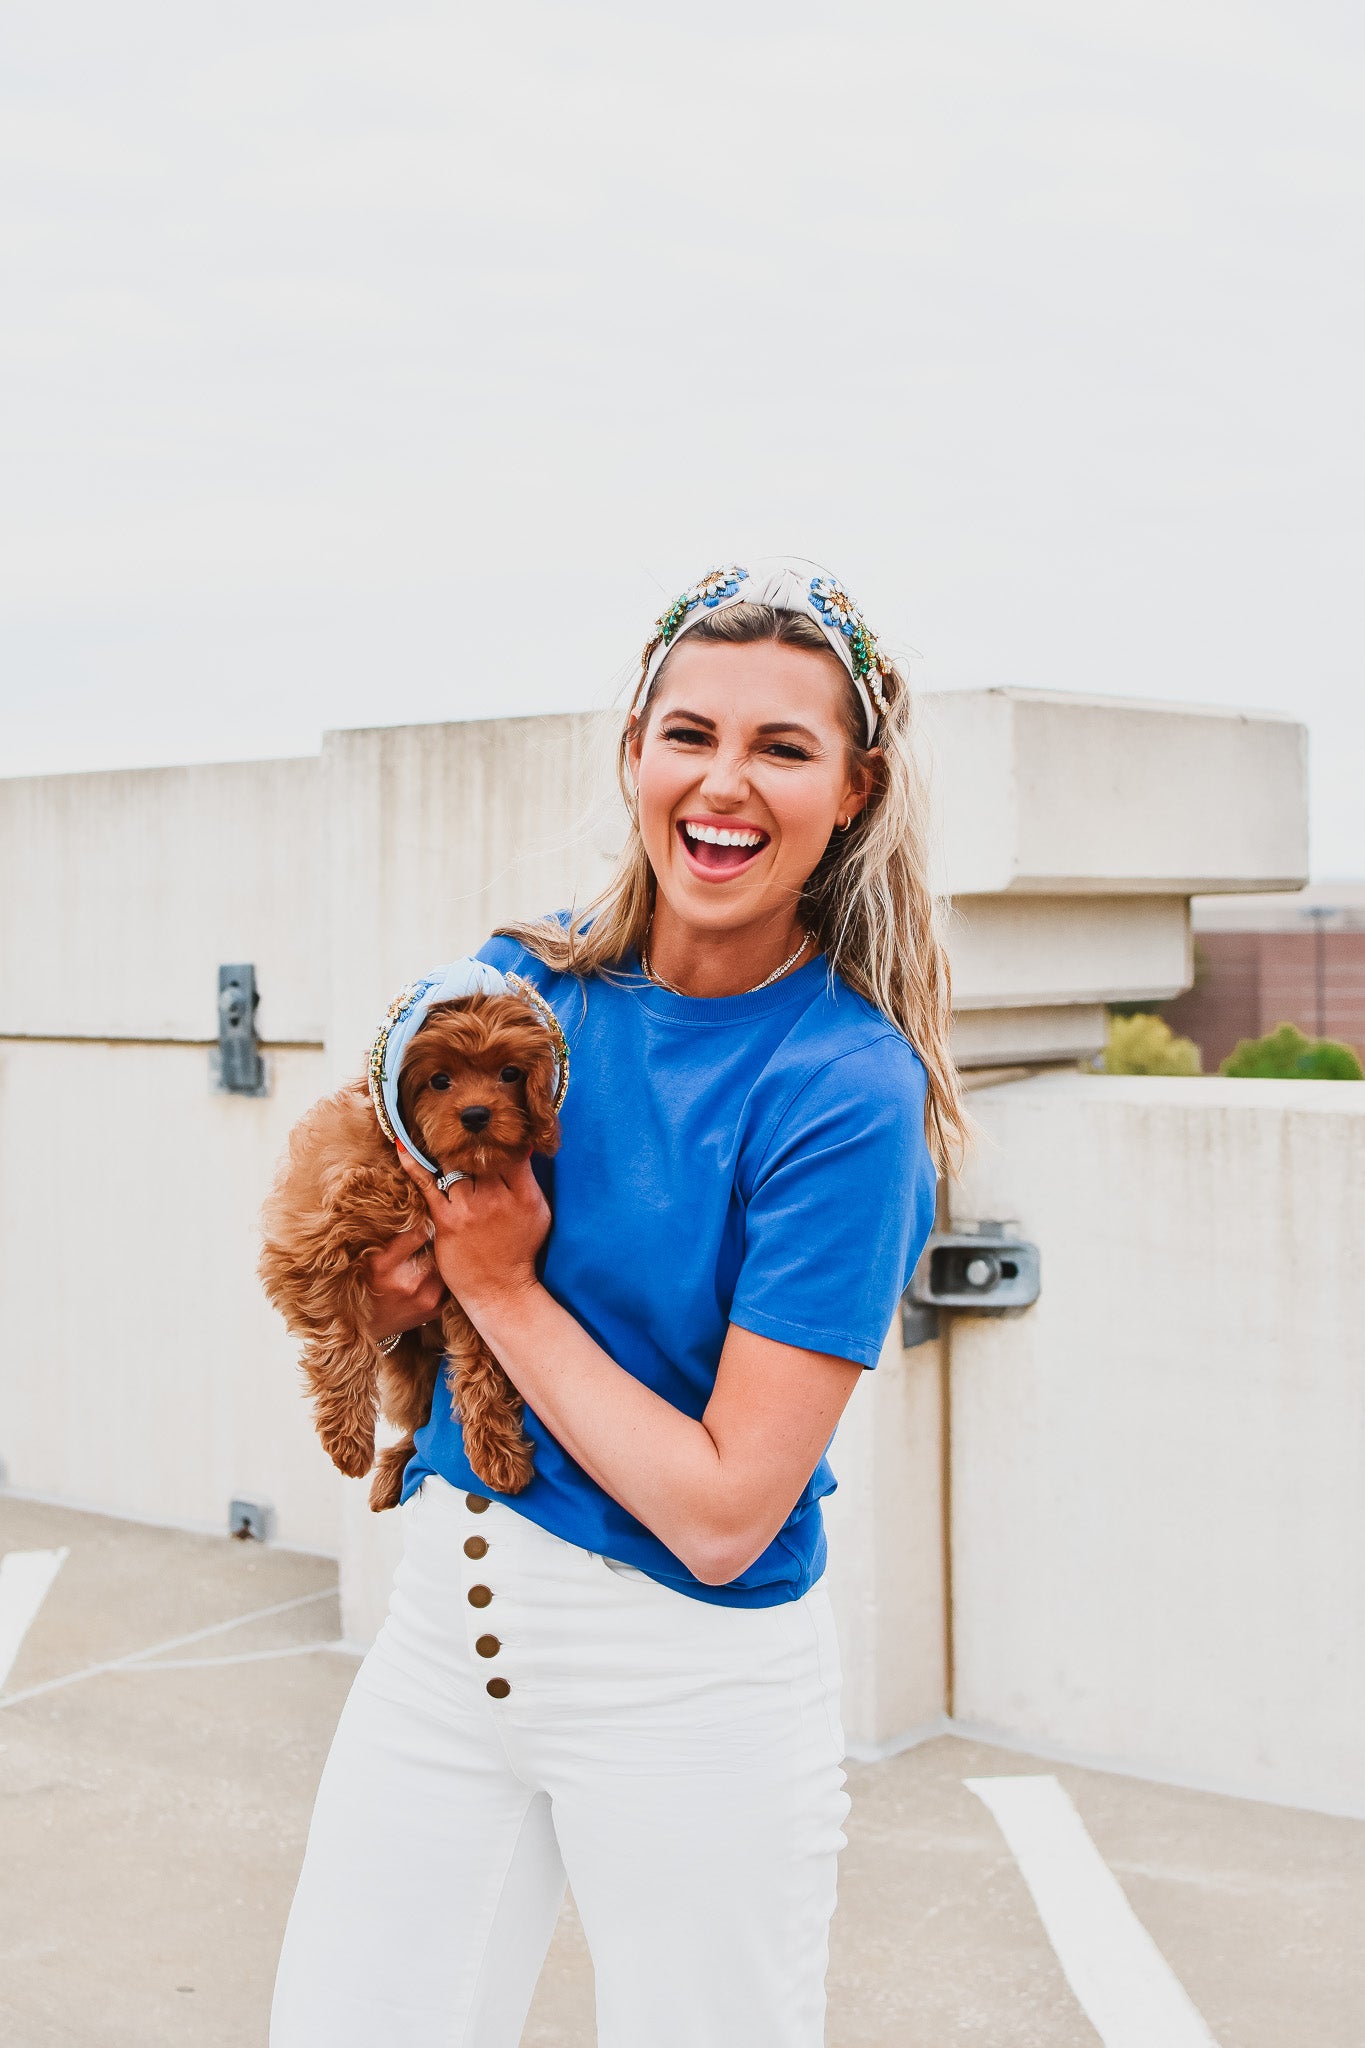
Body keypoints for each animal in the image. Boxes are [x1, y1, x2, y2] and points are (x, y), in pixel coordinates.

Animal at [261, 999, 560, 1515]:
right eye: (439, 1081)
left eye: (510, 1073)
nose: (477, 1114)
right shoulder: (310, 1249)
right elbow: (342, 1337)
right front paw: (347, 1441)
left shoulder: (474, 1286)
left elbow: (483, 1362)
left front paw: (497, 1452)